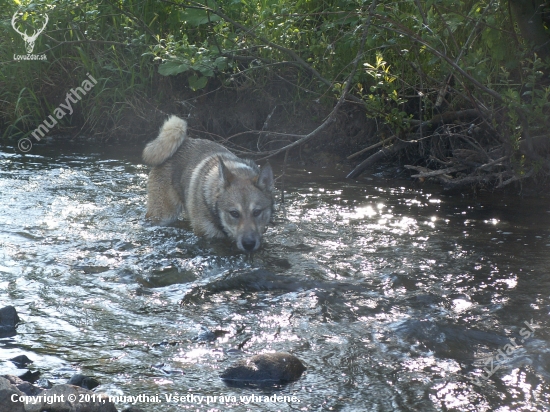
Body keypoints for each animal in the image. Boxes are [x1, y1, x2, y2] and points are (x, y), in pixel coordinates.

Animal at [143, 114, 274, 253]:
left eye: (257, 212)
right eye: (234, 213)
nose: (249, 244)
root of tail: (184, 141)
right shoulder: (207, 236)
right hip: (163, 215)